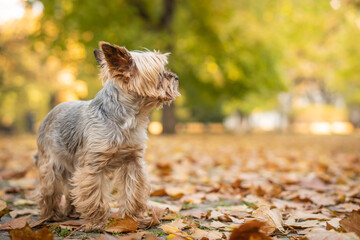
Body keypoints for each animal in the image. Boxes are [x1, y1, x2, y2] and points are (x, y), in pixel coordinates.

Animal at [36, 41, 180, 229]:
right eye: (160, 73)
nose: (176, 77)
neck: (127, 119)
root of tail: (51, 112)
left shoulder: (132, 162)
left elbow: (133, 191)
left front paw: (135, 218)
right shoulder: (93, 166)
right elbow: (94, 195)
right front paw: (97, 222)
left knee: (70, 189)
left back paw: (72, 212)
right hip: (51, 166)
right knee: (49, 192)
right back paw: (50, 216)